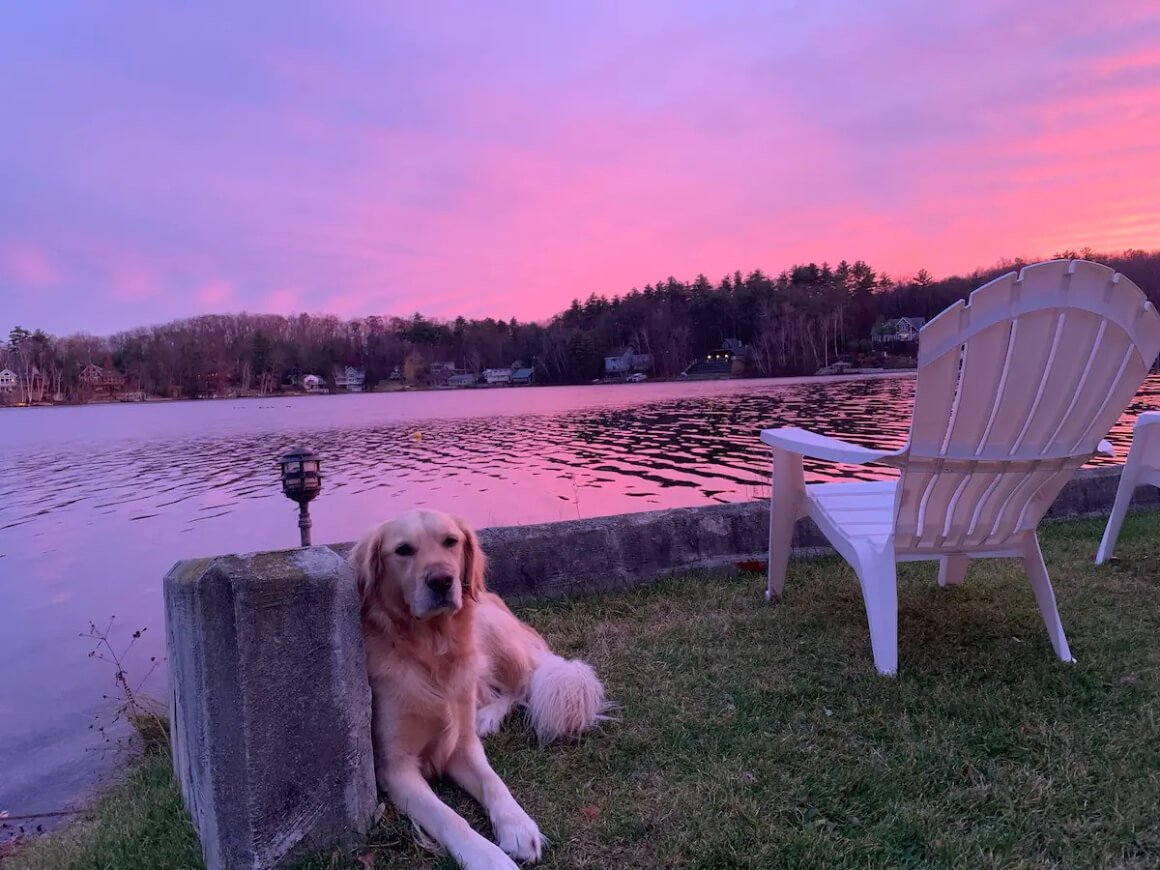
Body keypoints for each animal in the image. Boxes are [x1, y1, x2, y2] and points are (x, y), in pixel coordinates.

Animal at [348, 510, 607, 870]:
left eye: (450, 541)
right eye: (403, 550)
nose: (442, 581)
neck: (430, 651)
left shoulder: (463, 745)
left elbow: (493, 782)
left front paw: (518, 826)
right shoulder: (395, 766)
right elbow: (448, 817)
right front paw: (489, 857)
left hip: (486, 627)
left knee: (521, 686)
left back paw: (486, 717)